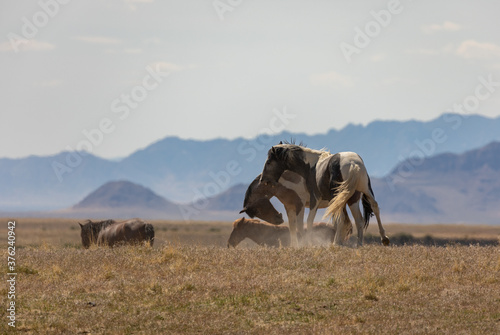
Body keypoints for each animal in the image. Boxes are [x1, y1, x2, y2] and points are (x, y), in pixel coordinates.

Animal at [258, 143, 390, 248]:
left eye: (269, 162)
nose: (262, 180)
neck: (311, 166)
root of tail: (352, 164)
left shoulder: (315, 199)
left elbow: (309, 221)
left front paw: (308, 243)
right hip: (359, 195)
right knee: (368, 212)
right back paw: (375, 240)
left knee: (343, 218)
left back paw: (336, 243)